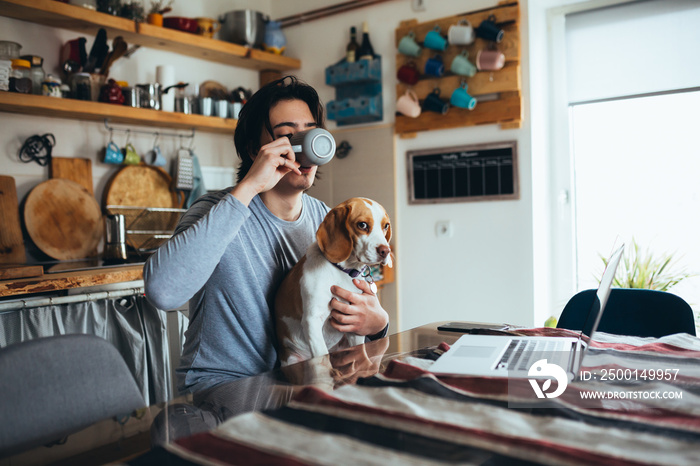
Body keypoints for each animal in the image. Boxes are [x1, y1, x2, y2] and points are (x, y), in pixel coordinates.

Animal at [274, 197, 394, 368]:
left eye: (386, 226)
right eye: (362, 225)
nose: (386, 251)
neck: (342, 272)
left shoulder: (355, 326)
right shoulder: (312, 321)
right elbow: (322, 357)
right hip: (292, 358)